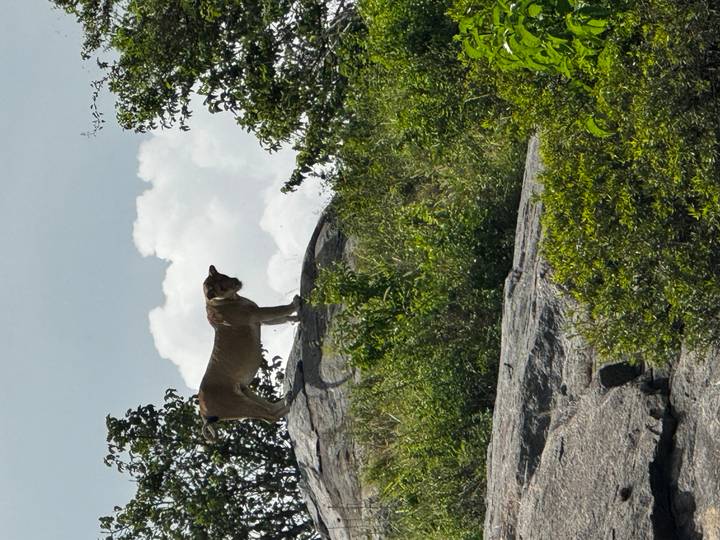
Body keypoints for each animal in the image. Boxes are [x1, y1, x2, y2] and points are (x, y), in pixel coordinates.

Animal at [198, 265, 300, 441]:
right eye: (221, 288)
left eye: (223, 277)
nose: (235, 282)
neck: (232, 299)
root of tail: (202, 412)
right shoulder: (257, 314)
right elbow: (280, 310)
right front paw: (296, 302)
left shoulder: (261, 319)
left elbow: (282, 317)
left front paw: (295, 318)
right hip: (238, 404)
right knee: (270, 416)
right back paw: (289, 401)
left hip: (246, 391)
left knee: (269, 410)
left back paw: (287, 397)